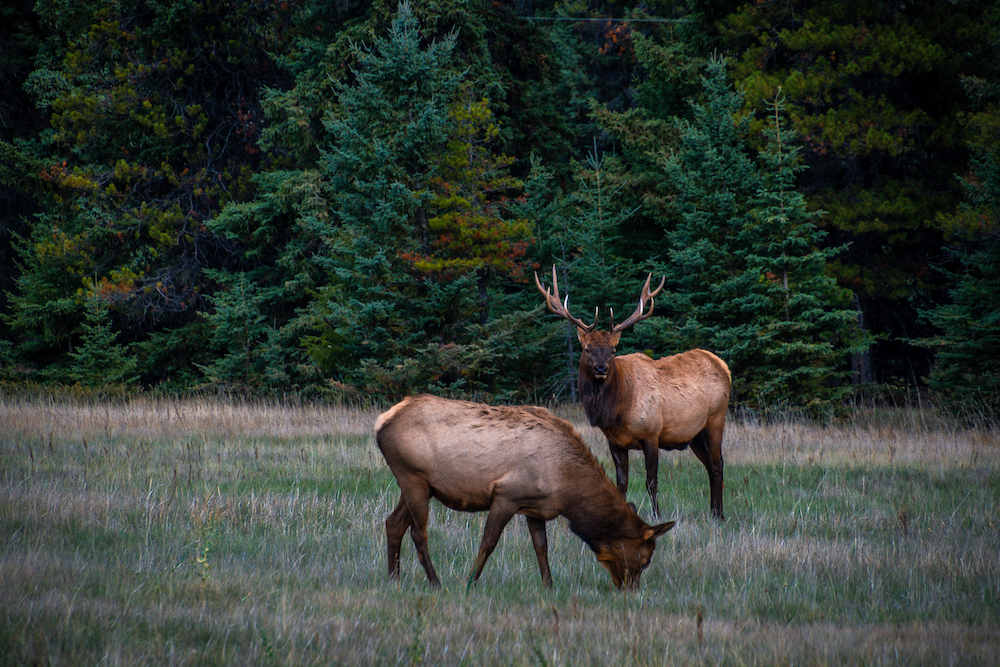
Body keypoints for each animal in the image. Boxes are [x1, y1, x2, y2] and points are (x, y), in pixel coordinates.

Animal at [374, 394, 672, 592]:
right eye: (646, 560)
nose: (631, 589)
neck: (566, 488)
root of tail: (381, 422)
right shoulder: (506, 495)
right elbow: (488, 542)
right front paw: (469, 582)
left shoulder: (535, 507)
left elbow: (541, 547)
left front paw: (549, 586)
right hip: (412, 478)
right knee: (418, 532)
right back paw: (435, 582)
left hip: (419, 485)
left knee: (393, 523)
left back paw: (394, 579)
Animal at [536, 266, 732, 520]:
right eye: (587, 349)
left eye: (613, 350)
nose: (601, 368)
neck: (618, 410)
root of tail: (724, 366)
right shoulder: (615, 442)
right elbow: (621, 484)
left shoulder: (652, 433)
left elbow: (651, 481)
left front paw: (657, 516)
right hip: (694, 434)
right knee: (709, 466)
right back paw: (712, 511)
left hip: (716, 419)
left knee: (718, 465)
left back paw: (719, 514)